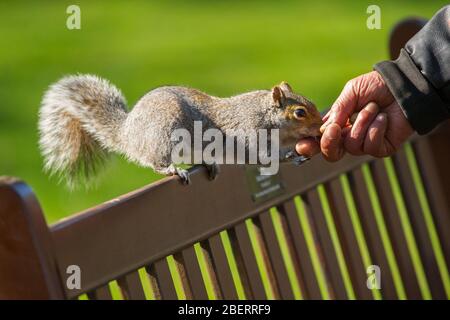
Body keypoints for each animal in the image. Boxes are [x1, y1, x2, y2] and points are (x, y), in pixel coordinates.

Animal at [37, 74, 320, 186]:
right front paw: (288, 155)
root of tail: (128, 134)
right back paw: (172, 170)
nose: (319, 127)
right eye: (300, 113)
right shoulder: (250, 133)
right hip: (163, 135)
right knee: (155, 161)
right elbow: (261, 157)